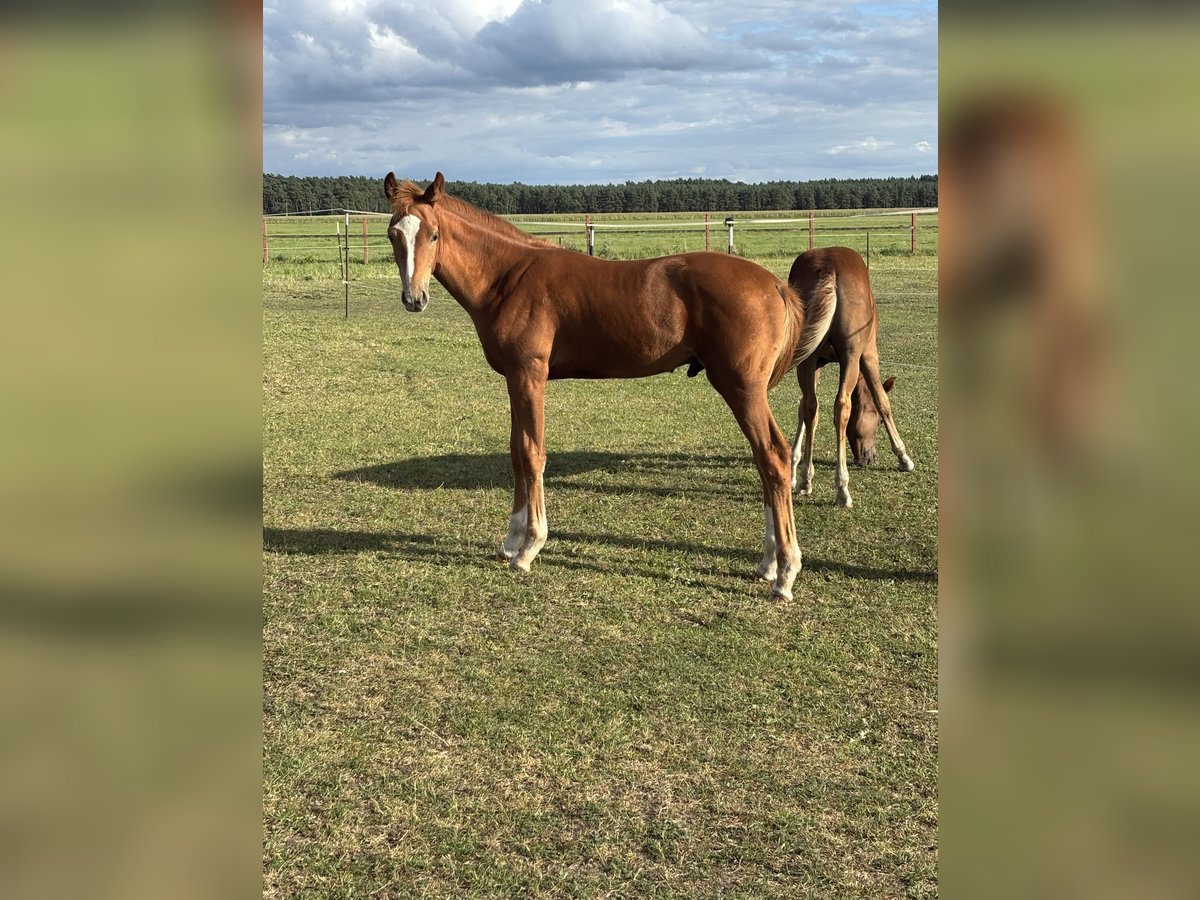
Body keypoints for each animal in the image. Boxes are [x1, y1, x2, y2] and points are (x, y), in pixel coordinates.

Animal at [382, 171, 836, 601]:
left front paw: (529, 547)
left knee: (774, 457)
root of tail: (776, 286)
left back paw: (786, 573)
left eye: (433, 234)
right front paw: (510, 540)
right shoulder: (515, 378)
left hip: (742, 388)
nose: (414, 299)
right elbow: (516, 454)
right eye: (393, 234)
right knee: (765, 462)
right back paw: (768, 563)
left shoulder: (530, 376)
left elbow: (532, 454)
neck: (507, 278)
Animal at [787, 247, 915, 509]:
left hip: (807, 358)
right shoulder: (868, 354)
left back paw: (806, 480)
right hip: (852, 356)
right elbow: (882, 401)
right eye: (877, 422)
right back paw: (842, 488)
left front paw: (796, 470)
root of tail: (828, 265)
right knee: (842, 406)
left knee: (810, 406)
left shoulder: (815, 362)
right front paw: (903, 457)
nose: (868, 459)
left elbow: (804, 409)